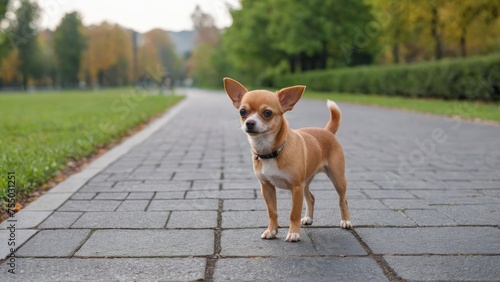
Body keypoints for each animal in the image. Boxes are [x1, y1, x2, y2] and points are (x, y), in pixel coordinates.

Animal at [225, 77, 354, 242]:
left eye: (267, 113)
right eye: (243, 111)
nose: (249, 123)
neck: (271, 151)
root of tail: (327, 131)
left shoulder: (296, 188)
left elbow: (294, 213)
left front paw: (293, 233)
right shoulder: (267, 187)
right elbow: (272, 212)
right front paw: (272, 231)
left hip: (337, 178)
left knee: (343, 200)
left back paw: (346, 221)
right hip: (306, 181)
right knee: (311, 197)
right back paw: (308, 218)